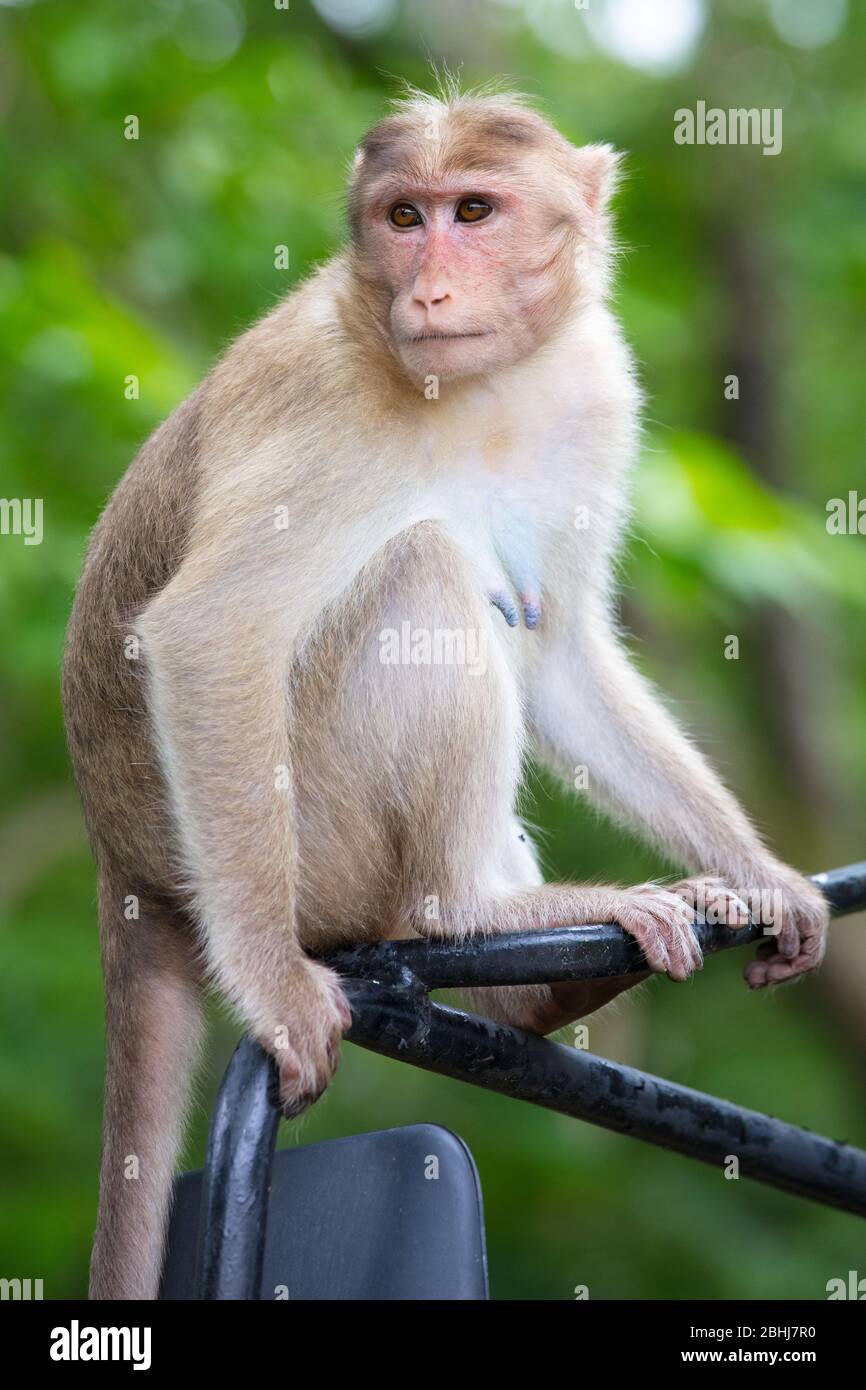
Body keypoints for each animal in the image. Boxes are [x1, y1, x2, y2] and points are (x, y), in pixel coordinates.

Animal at [64, 89, 828, 1301]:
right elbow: (208, 632)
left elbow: (561, 655)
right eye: (402, 217)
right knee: (419, 567)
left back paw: (532, 991)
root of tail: (129, 869)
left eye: (473, 211)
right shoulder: (322, 404)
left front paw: (761, 872)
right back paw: (464, 911)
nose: (427, 289)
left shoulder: (596, 385)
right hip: (316, 847)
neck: (484, 387)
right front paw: (275, 989)